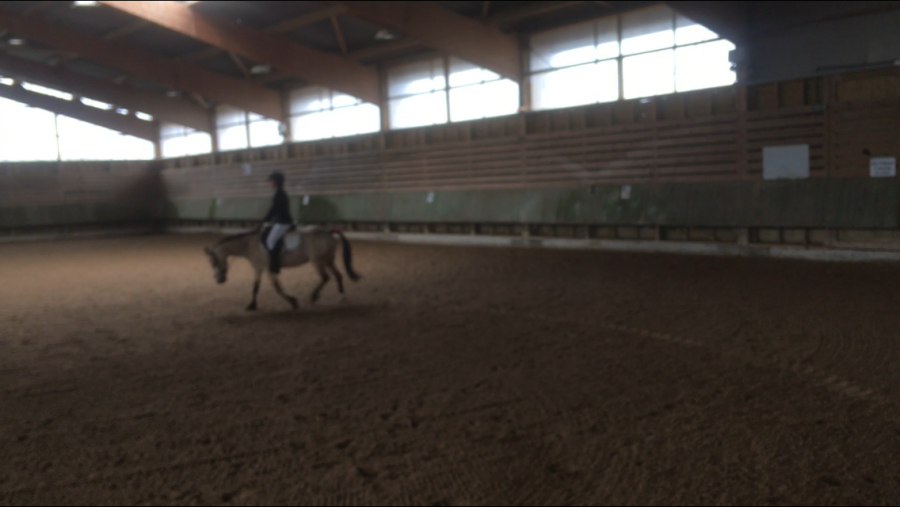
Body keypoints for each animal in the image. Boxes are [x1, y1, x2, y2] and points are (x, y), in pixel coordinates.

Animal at [204, 225, 361, 310]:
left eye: (212, 262)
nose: (219, 280)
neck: (249, 244)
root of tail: (329, 231)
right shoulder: (258, 268)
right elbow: (256, 287)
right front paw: (251, 305)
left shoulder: (268, 269)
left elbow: (276, 287)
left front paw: (293, 301)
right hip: (328, 260)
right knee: (338, 275)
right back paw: (342, 297)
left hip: (318, 261)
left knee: (325, 277)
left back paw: (314, 296)